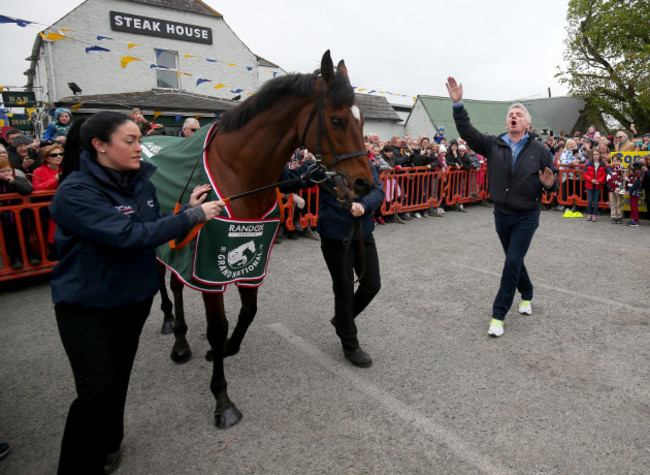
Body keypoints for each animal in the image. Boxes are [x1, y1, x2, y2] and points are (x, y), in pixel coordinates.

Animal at [152, 50, 372, 430]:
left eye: (360, 121)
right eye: (337, 120)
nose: (364, 183)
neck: (240, 175)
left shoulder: (252, 263)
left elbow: (248, 313)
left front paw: (226, 348)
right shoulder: (210, 270)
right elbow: (217, 326)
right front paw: (222, 400)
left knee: (178, 283)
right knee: (168, 284)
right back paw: (175, 335)